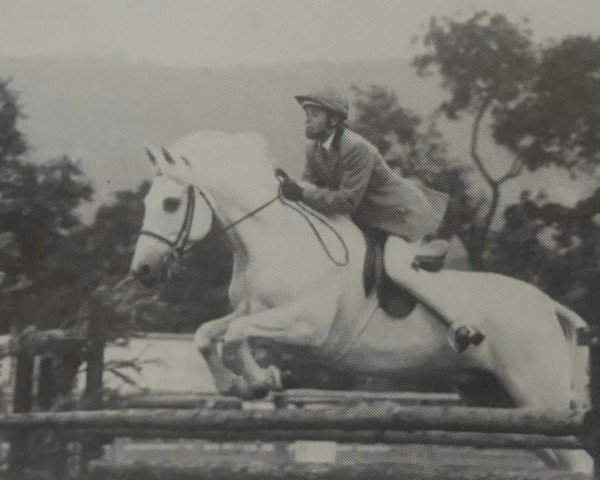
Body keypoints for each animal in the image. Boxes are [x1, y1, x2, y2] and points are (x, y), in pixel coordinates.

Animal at [130, 130, 592, 472]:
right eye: (147, 202)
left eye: (170, 203)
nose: (142, 272)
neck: (274, 240)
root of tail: (549, 305)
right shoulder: (255, 311)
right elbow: (209, 333)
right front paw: (241, 384)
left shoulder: (309, 326)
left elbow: (236, 335)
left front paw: (264, 379)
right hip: (501, 401)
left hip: (538, 392)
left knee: (578, 461)